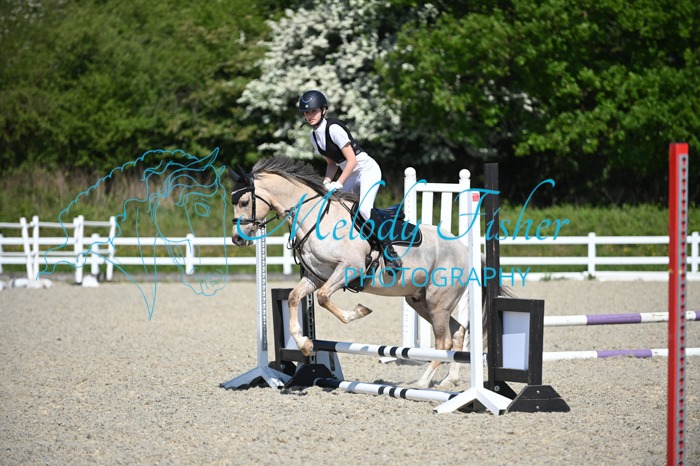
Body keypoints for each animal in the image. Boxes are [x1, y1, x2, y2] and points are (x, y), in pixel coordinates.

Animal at [228, 156, 480, 388]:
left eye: (244, 201)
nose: (237, 239)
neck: (314, 218)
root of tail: (463, 248)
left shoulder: (349, 268)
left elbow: (323, 298)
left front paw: (358, 311)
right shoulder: (315, 277)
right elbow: (293, 297)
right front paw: (305, 344)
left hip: (438, 302)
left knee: (444, 343)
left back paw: (422, 383)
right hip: (421, 302)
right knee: (458, 332)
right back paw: (449, 380)